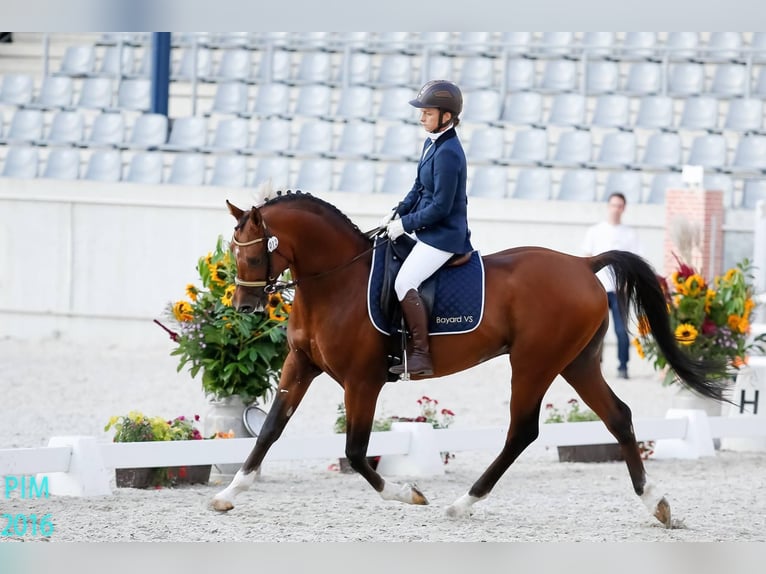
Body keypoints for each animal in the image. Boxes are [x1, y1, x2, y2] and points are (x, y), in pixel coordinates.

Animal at [213, 191, 728, 528]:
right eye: (235, 255)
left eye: (253, 258)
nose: (244, 308)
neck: (334, 283)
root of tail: (583, 264)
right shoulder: (300, 365)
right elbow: (270, 429)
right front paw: (227, 494)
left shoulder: (362, 382)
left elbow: (356, 452)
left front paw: (410, 494)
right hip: (575, 362)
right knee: (617, 417)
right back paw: (657, 504)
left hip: (535, 363)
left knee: (523, 431)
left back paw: (462, 504)